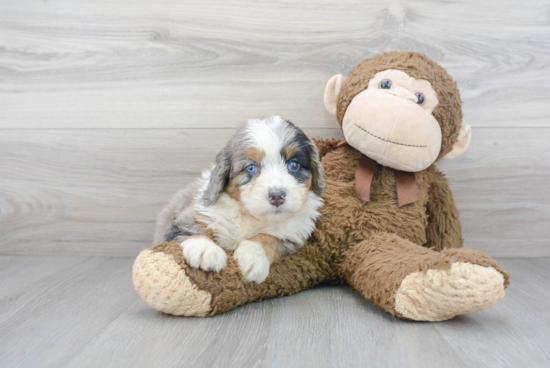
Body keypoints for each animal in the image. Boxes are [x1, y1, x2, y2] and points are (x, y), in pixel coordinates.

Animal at [155, 116, 326, 284]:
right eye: (251, 167)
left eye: (294, 165)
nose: (277, 196)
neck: (248, 214)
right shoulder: (188, 219)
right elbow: (192, 230)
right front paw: (205, 250)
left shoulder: (292, 234)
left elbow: (268, 238)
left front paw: (254, 258)